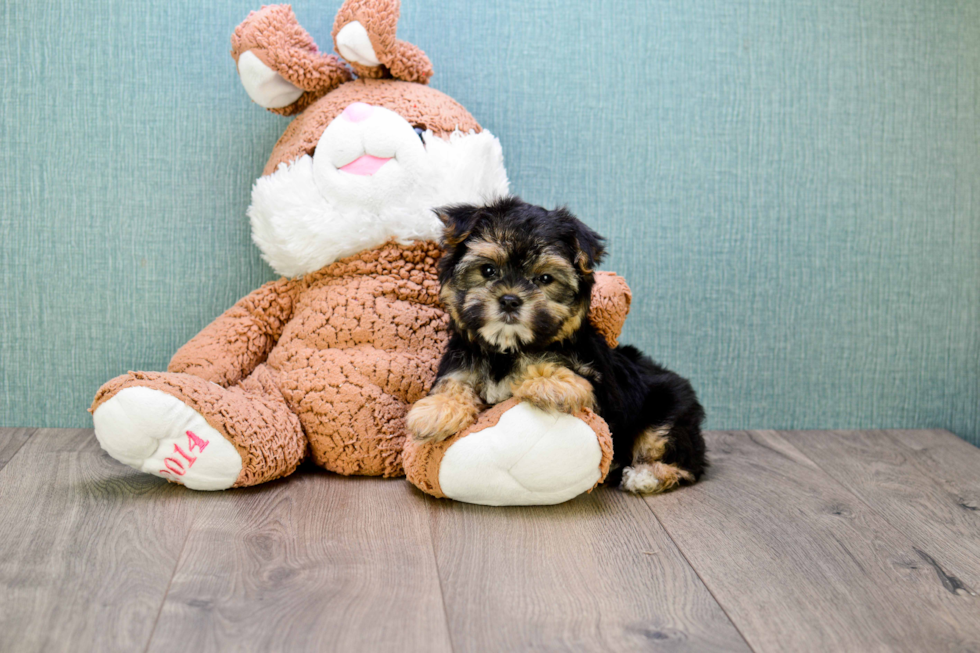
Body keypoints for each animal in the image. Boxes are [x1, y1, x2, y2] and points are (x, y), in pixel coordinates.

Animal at [406, 197, 704, 494]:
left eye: (545, 279)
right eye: (488, 270)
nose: (510, 300)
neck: (507, 349)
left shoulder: (601, 396)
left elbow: (567, 376)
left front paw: (544, 381)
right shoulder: (463, 360)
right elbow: (454, 383)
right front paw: (438, 409)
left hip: (669, 412)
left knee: (684, 460)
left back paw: (646, 475)